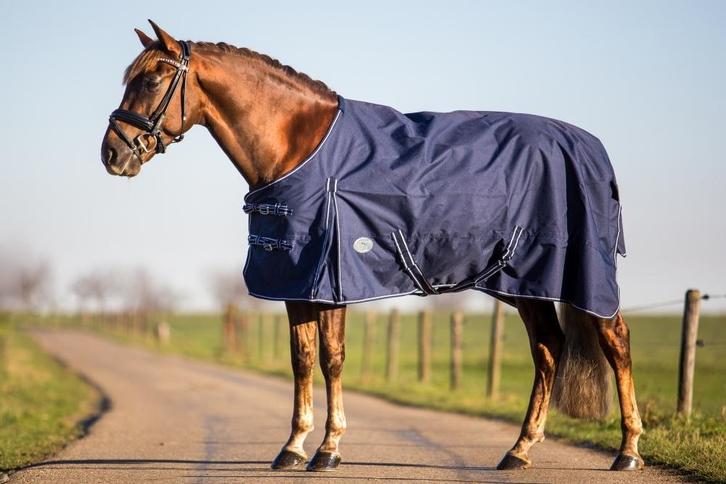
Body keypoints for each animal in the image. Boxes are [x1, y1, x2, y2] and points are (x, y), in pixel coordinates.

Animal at [100, 21, 644, 473]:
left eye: (151, 80)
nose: (112, 153)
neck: (300, 147)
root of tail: (592, 149)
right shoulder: (295, 283)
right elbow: (301, 360)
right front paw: (292, 448)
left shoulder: (332, 280)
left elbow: (332, 358)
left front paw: (328, 449)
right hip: (524, 285)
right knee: (548, 349)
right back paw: (520, 450)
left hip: (580, 277)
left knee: (615, 341)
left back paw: (628, 451)